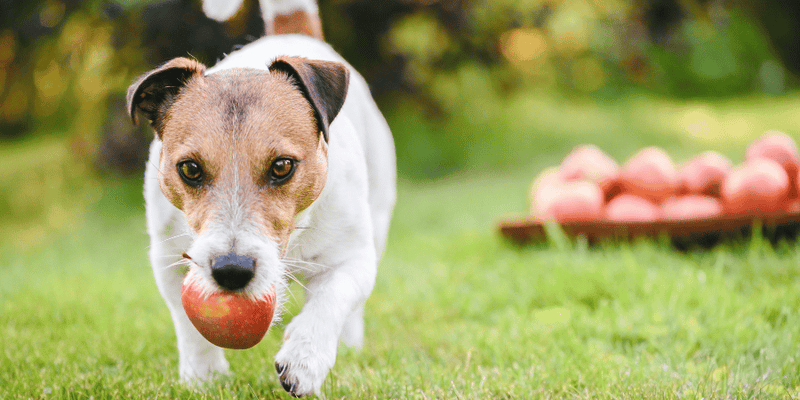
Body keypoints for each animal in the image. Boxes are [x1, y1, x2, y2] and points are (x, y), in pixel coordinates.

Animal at [126, 0, 396, 394]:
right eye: (189, 169)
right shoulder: (167, 260)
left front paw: (305, 358)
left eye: (282, 166)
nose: (231, 270)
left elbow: (332, 297)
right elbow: (188, 324)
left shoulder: (354, 257)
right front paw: (203, 377)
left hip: (378, 214)